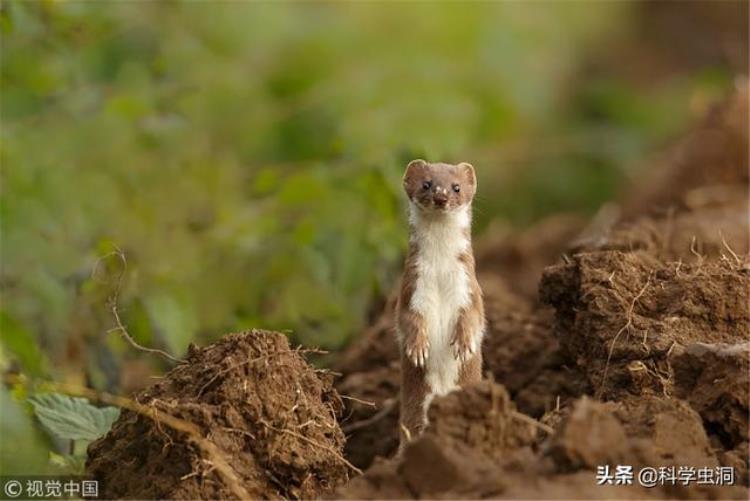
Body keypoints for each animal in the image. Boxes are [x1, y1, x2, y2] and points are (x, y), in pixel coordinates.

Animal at [396, 158, 484, 444]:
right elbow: (408, 318)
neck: (440, 269)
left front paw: (464, 342)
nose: (441, 196)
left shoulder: (468, 286)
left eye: (456, 187)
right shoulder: (412, 286)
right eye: (426, 183)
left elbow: (474, 314)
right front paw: (417, 347)